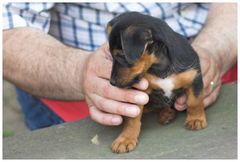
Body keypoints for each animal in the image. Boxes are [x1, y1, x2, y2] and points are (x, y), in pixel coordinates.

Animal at [107, 12, 206, 153]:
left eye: (122, 55)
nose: (112, 83)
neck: (159, 66)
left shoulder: (194, 78)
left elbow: (194, 102)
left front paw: (196, 119)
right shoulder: (138, 93)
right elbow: (132, 118)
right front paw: (125, 139)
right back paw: (166, 113)